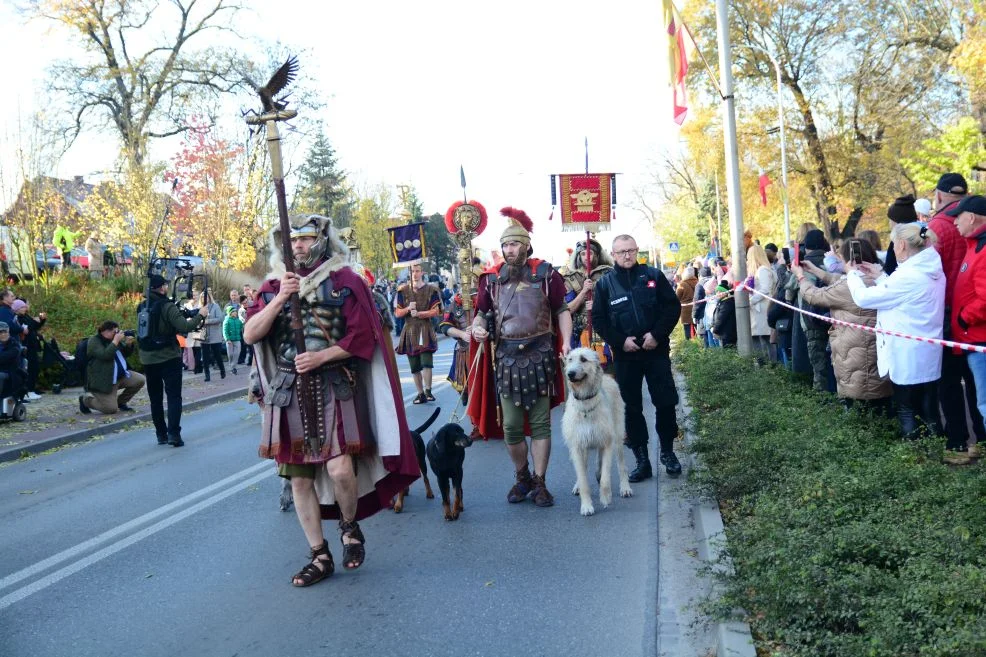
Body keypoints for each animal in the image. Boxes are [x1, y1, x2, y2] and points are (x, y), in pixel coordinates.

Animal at [560, 346, 632, 516]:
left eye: (583, 359)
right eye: (570, 359)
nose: (570, 374)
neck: (585, 404)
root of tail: (608, 377)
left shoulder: (607, 442)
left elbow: (606, 477)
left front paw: (605, 498)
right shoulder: (578, 446)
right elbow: (583, 477)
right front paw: (586, 505)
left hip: (617, 435)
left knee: (621, 463)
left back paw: (625, 487)